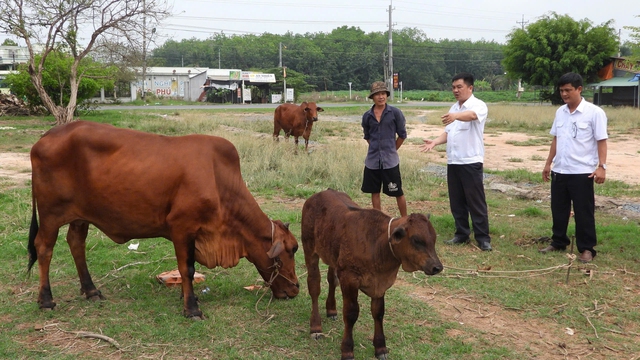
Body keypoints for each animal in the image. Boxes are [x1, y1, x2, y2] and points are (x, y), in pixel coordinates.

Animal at [27, 120, 300, 318]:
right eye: (291, 250)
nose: (296, 289)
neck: (219, 180)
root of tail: (47, 135)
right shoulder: (182, 228)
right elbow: (187, 268)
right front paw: (191, 308)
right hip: (51, 214)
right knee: (44, 248)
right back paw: (46, 299)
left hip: (80, 217)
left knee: (76, 244)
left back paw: (91, 290)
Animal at [302, 188, 442, 360]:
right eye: (416, 240)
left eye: (433, 238)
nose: (437, 267)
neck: (377, 244)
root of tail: (321, 193)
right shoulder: (349, 279)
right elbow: (351, 314)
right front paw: (347, 350)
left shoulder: (380, 283)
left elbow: (378, 313)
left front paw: (381, 348)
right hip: (310, 250)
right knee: (314, 286)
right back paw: (315, 327)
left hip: (331, 255)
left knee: (331, 280)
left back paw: (331, 310)